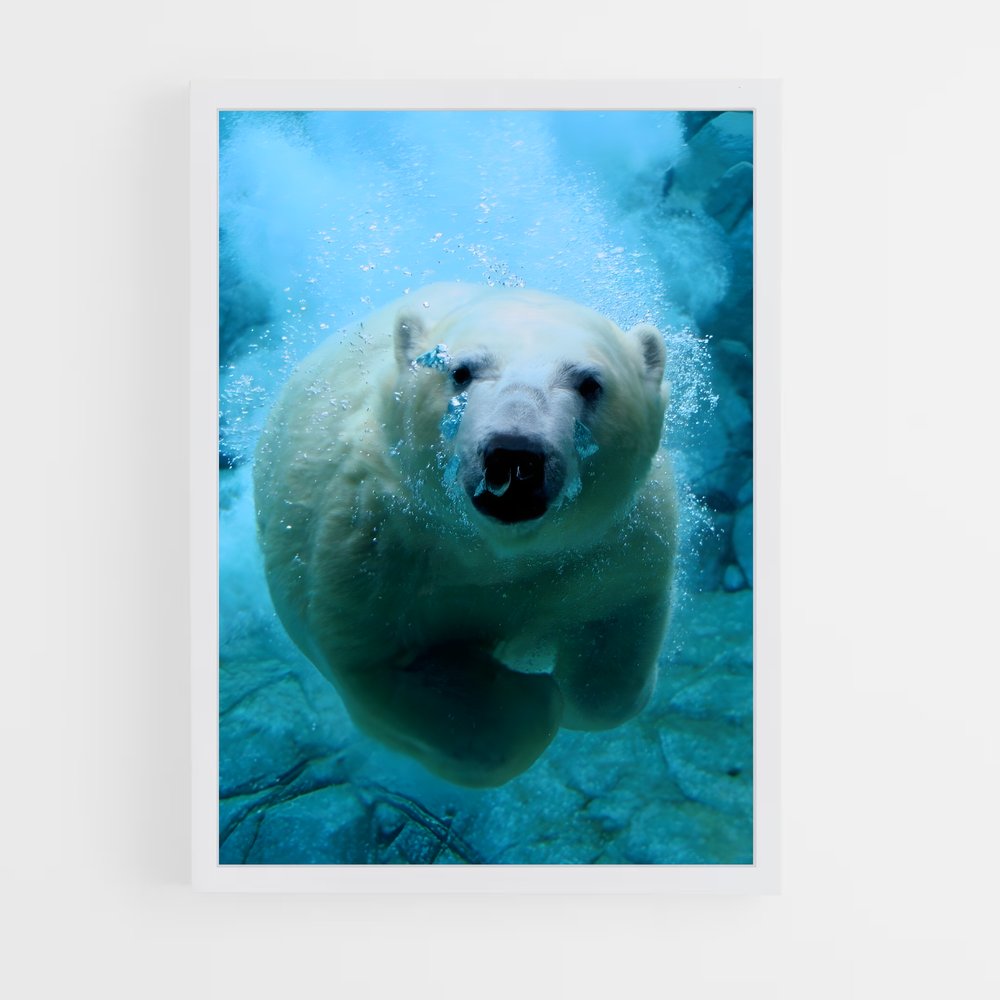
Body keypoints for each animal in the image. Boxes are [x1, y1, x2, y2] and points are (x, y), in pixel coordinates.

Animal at [253, 283, 677, 787]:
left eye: (590, 383)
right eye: (460, 371)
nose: (515, 455)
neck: (494, 549)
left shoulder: (612, 544)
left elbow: (615, 642)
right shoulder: (372, 544)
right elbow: (384, 667)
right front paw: (530, 694)